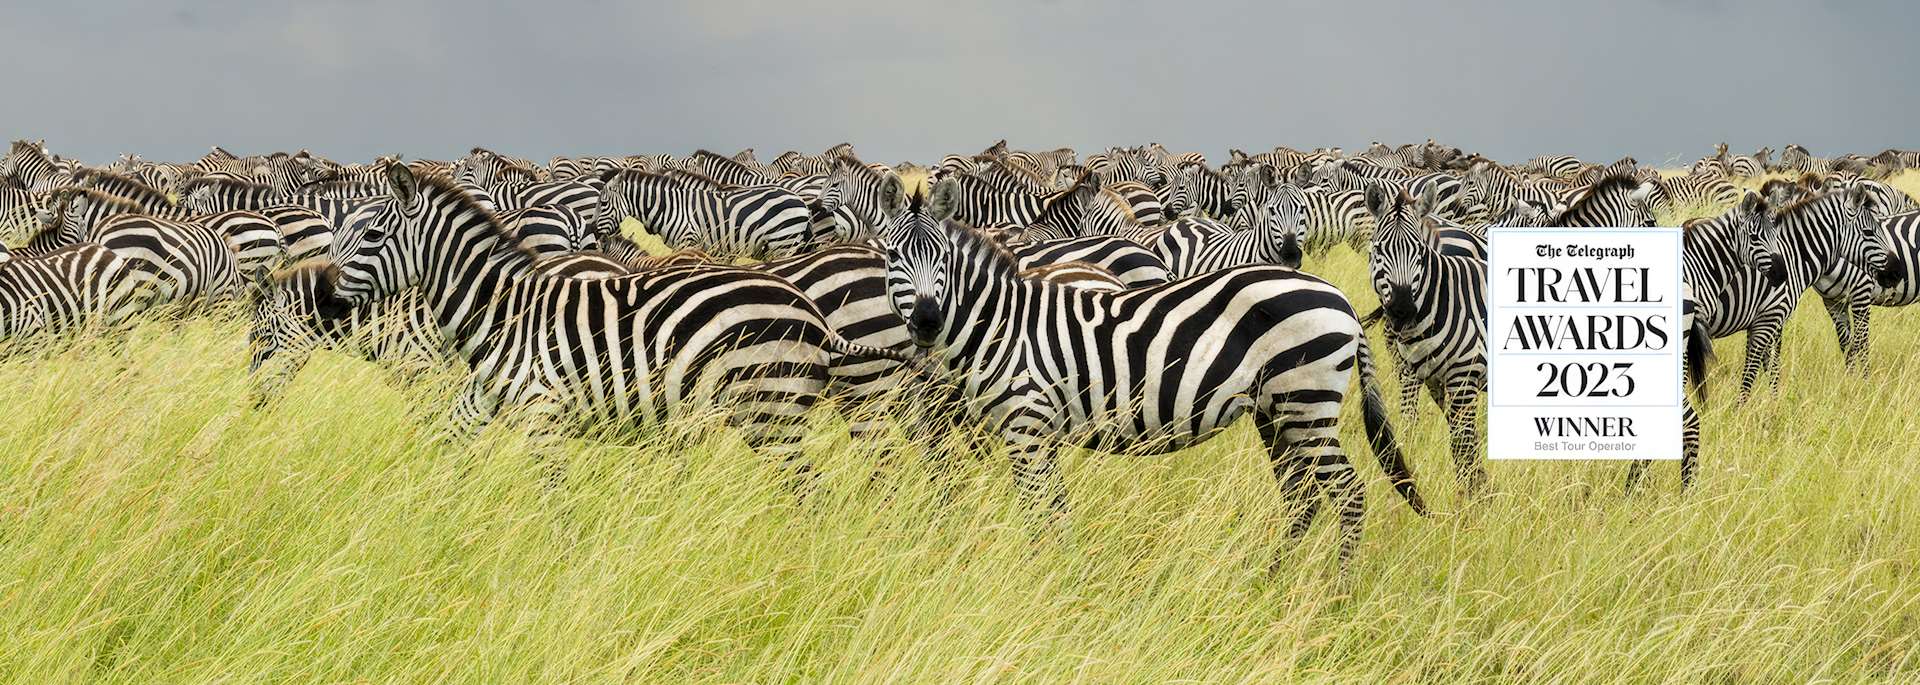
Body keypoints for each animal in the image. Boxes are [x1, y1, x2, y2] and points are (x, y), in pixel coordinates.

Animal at [595, 168, 815, 259]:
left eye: (603, 203)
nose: (596, 235)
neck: (671, 207)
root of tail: (801, 202)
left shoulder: (688, 241)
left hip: (783, 242)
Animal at [876, 178, 1425, 567]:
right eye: (894, 257)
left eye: (941, 259)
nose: (926, 322)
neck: (1003, 326)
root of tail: (1342, 300)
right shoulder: (1038, 433)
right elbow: (1055, 510)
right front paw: (1062, 573)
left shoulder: (1027, 428)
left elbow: (1040, 513)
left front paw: (1043, 580)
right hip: (1276, 412)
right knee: (1301, 496)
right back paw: (1274, 579)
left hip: (1306, 403)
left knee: (1348, 494)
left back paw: (1337, 592)